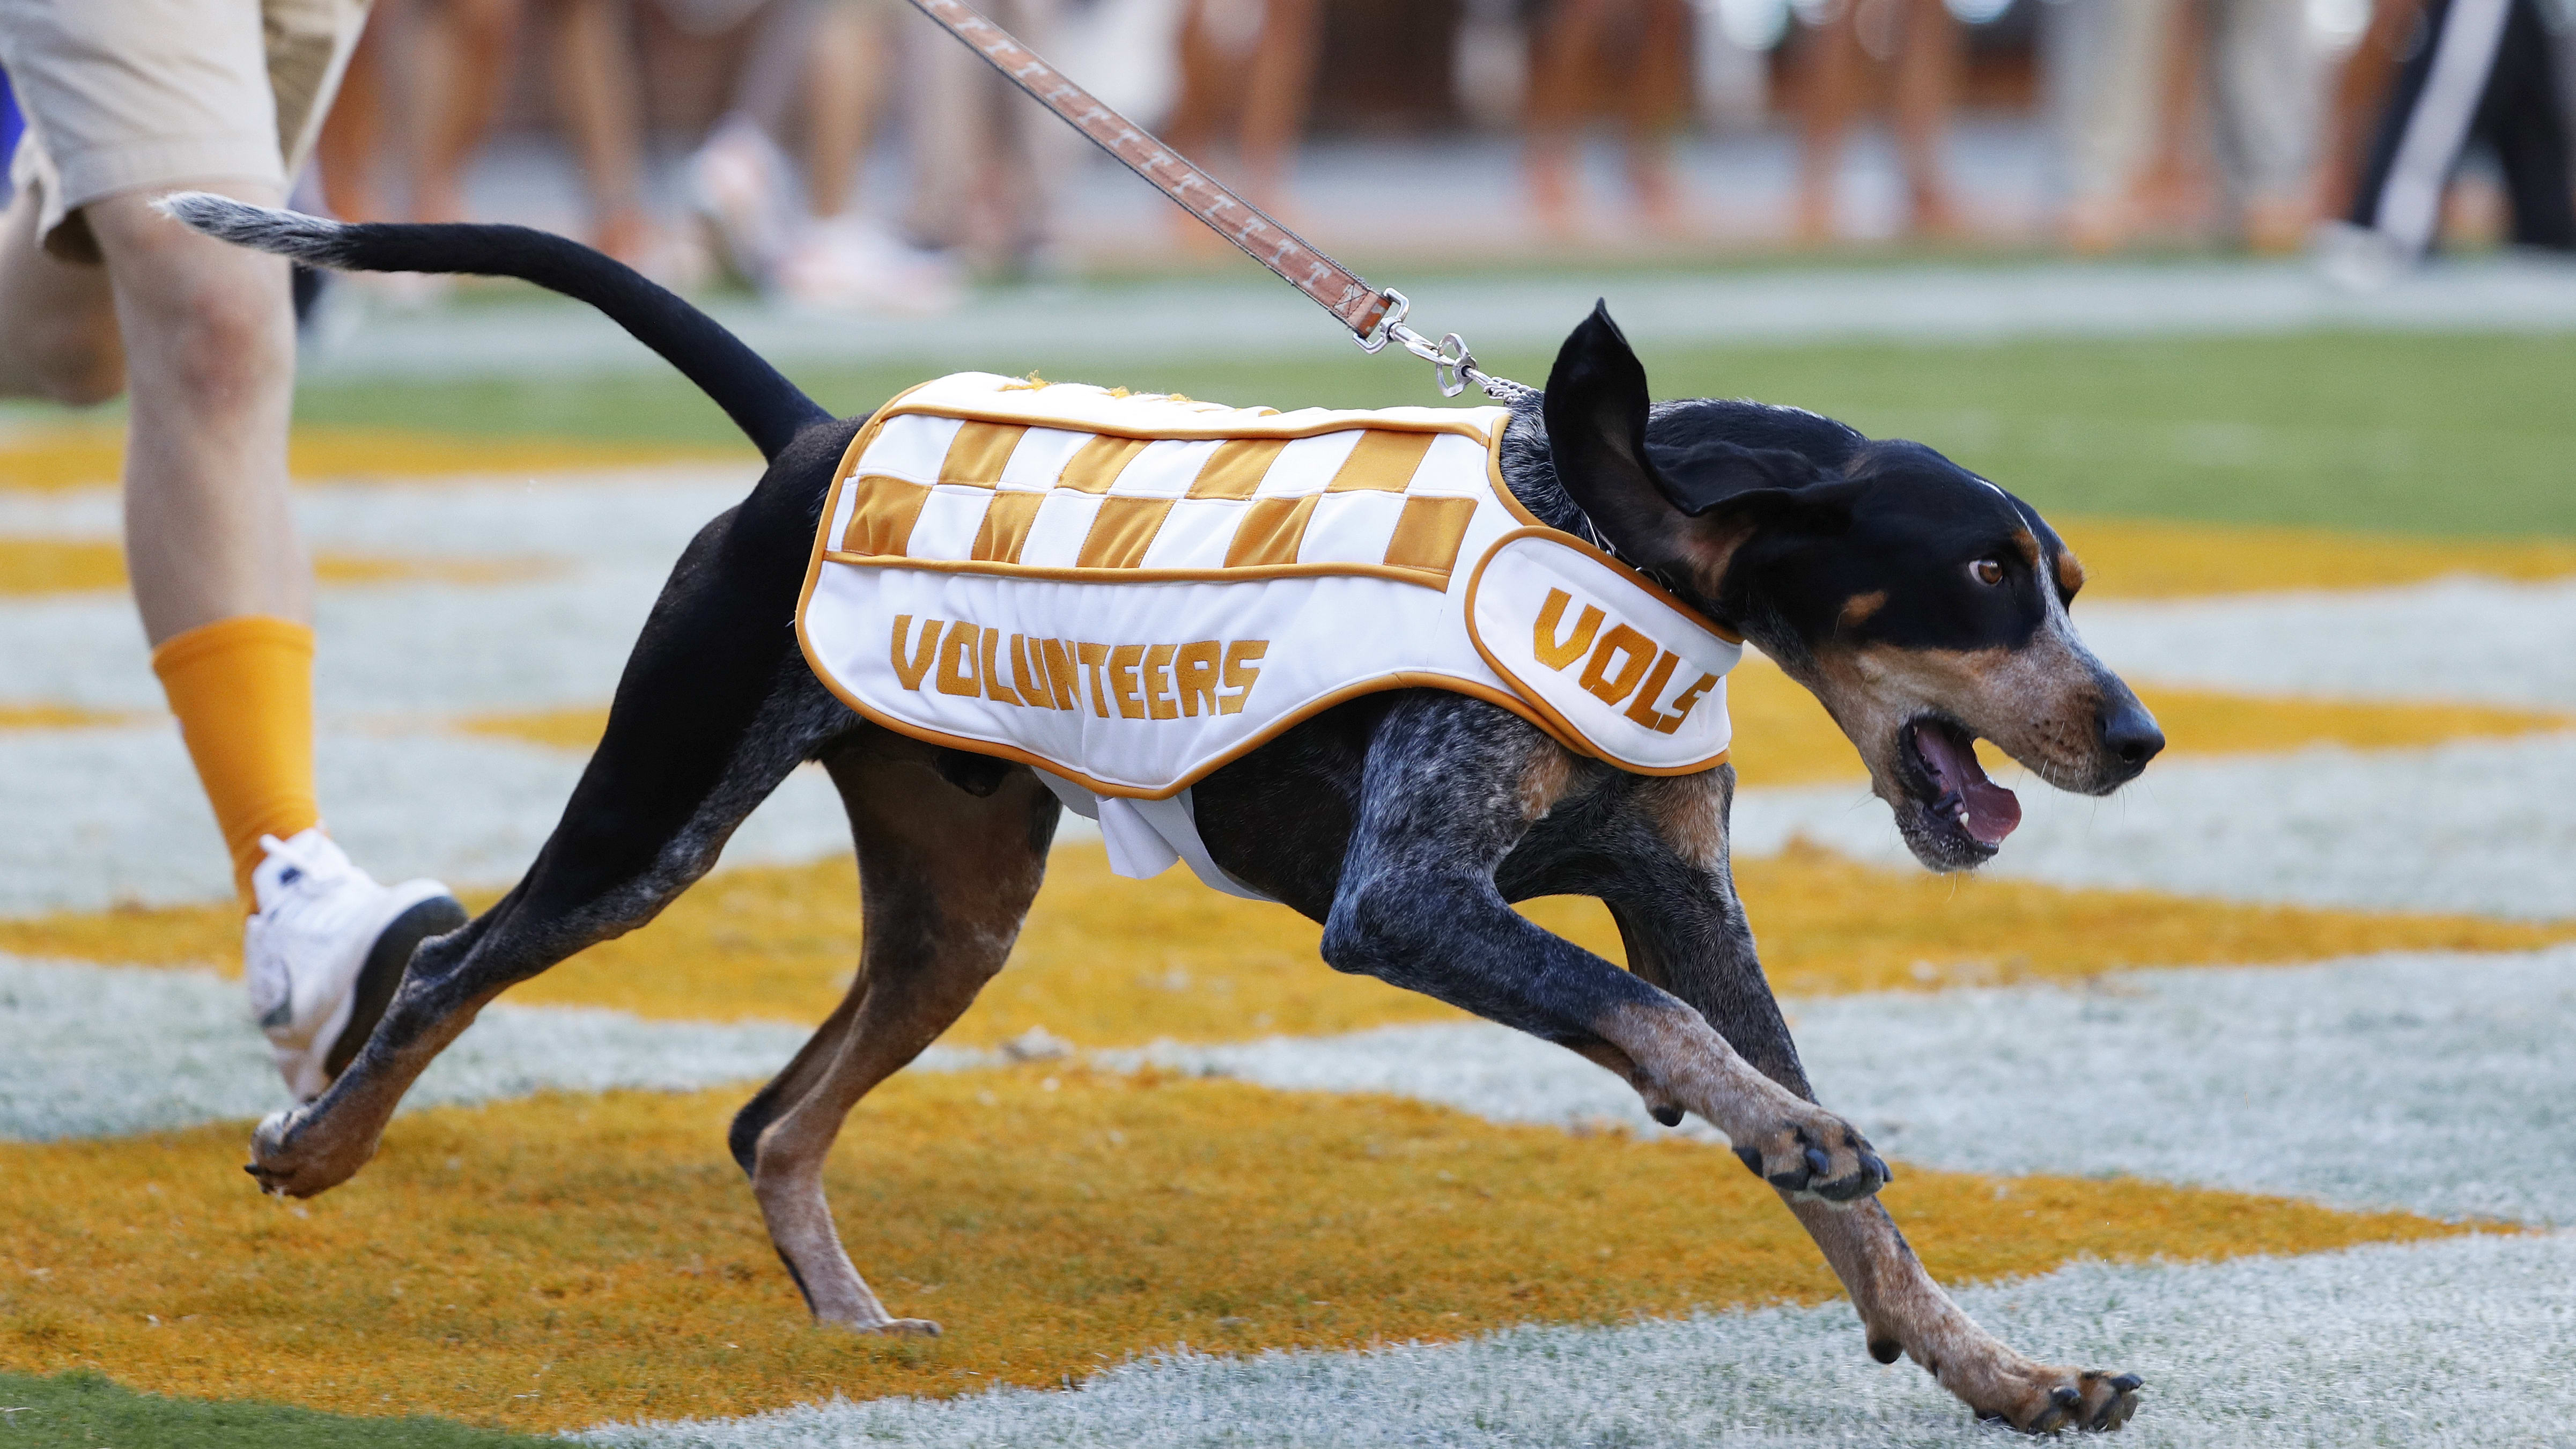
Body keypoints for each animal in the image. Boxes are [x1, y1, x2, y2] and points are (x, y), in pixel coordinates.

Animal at [171, 197, 2164, 1423]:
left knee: (768, 1119)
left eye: (2059, 575)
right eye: (1984, 577)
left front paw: (1991, 1368)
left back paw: (852, 1326)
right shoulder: (1412, 905)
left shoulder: (1677, 896)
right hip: (651, 825)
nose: (2139, 735)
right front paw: (1789, 1135)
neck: (1609, 529)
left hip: (961, 908)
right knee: (453, 973)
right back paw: (318, 1145)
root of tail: (812, 433)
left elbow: (1835, 1186)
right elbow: (1677, 1041)